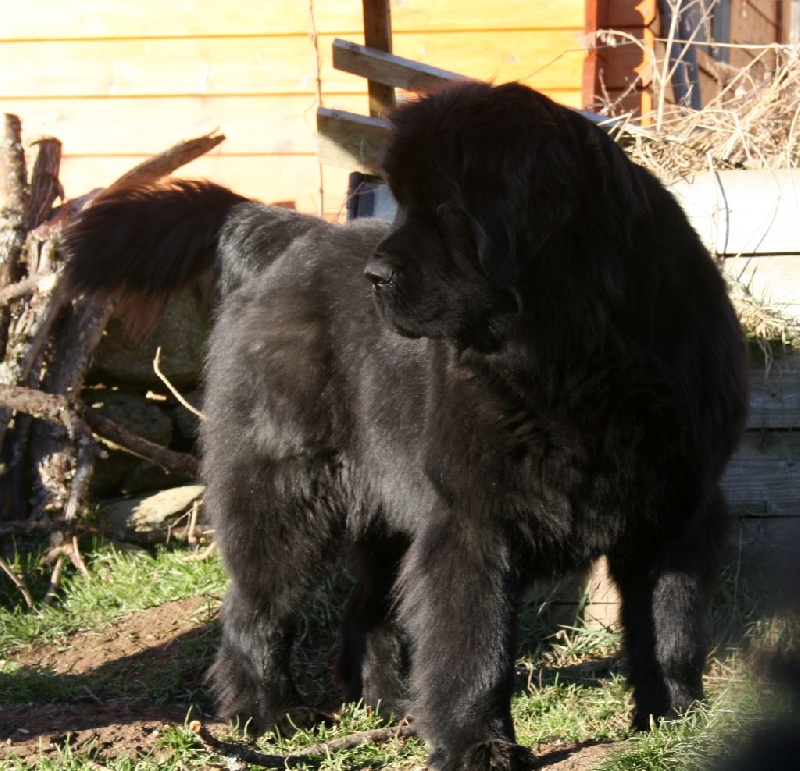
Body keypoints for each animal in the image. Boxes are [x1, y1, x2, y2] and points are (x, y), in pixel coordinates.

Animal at [61, 80, 749, 770]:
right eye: (405, 207)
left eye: (447, 207)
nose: (376, 277)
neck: (572, 359)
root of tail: (287, 233)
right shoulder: (472, 518)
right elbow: (475, 646)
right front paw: (477, 746)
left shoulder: (676, 510)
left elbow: (671, 626)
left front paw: (675, 719)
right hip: (288, 493)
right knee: (256, 608)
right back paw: (269, 715)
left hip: (388, 504)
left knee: (368, 609)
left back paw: (390, 705)